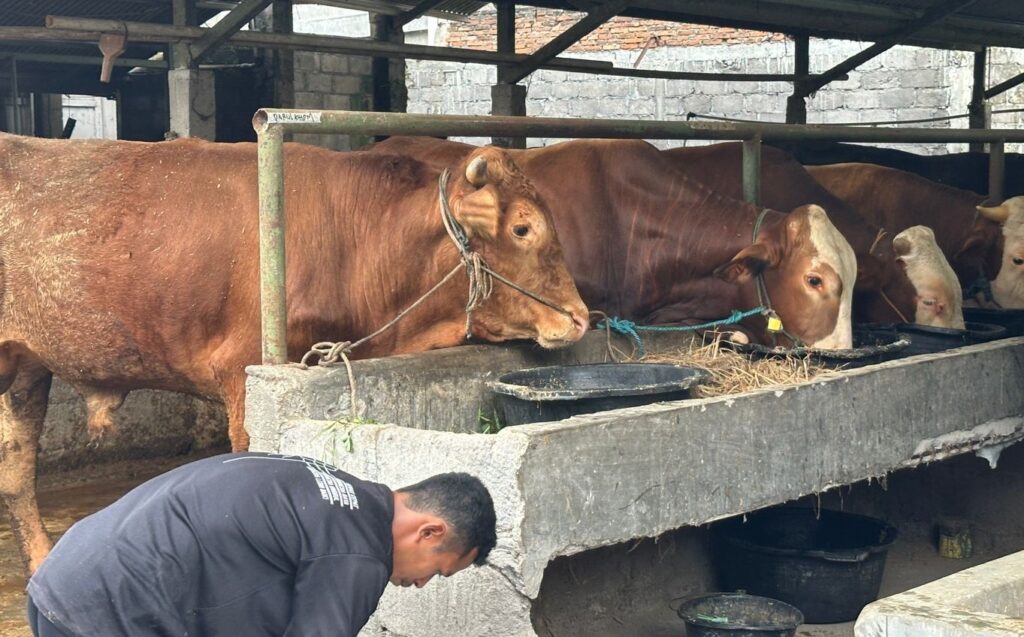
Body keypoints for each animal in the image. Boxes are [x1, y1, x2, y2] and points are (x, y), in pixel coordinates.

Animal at [0, 132, 589, 572]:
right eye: (523, 227)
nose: (581, 317)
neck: (355, 239)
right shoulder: (244, 374)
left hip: (25, 367)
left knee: (17, 468)